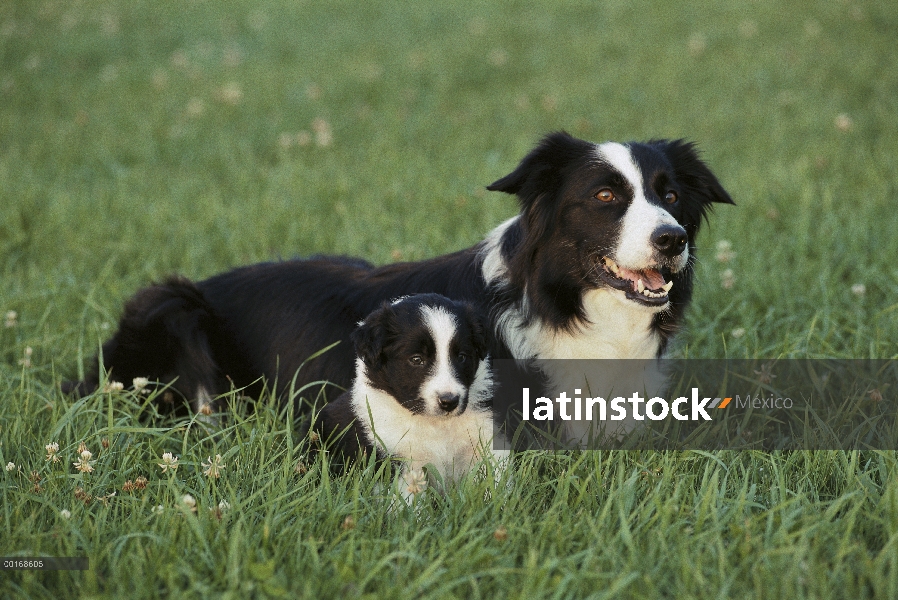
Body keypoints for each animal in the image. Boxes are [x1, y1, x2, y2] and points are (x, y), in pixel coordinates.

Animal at [312, 292, 500, 494]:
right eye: (416, 359)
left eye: (462, 357)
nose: (449, 401)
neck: (436, 424)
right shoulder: (399, 458)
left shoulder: (485, 440)